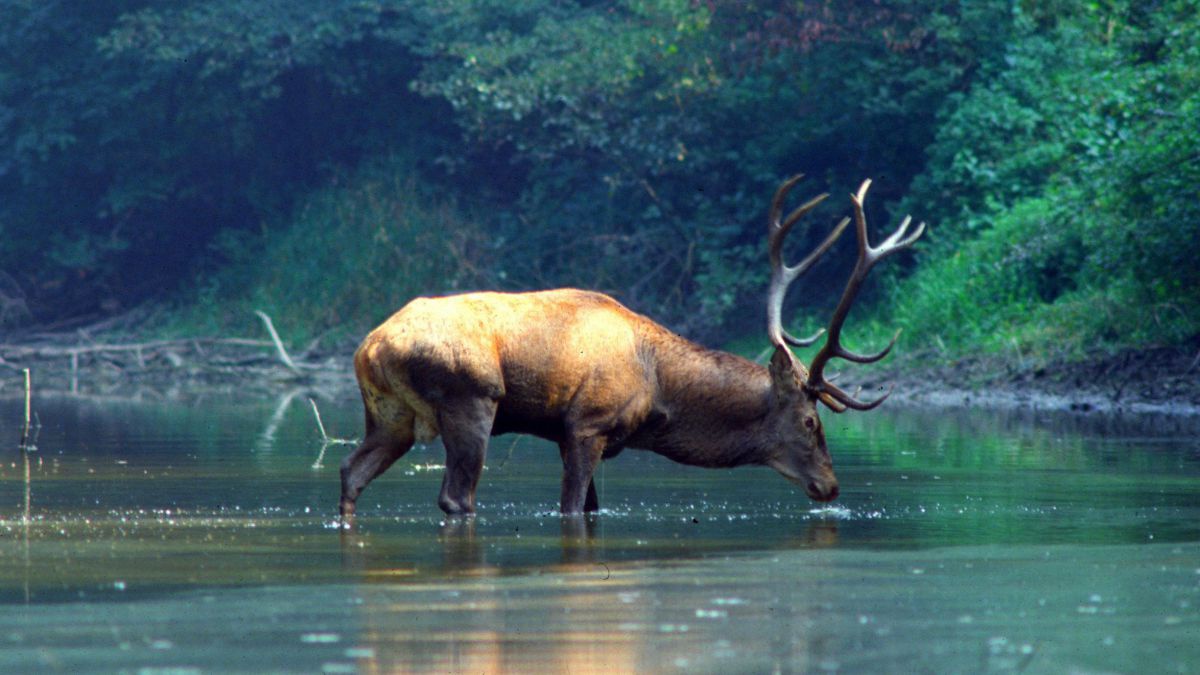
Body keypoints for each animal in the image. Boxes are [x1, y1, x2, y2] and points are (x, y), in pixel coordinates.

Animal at [343, 172, 921, 514]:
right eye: (810, 422)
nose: (831, 486)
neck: (658, 393)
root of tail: (369, 348)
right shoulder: (588, 423)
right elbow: (572, 509)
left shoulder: (570, 434)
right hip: (471, 398)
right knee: (455, 498)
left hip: (389, 413)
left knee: (352, 473)